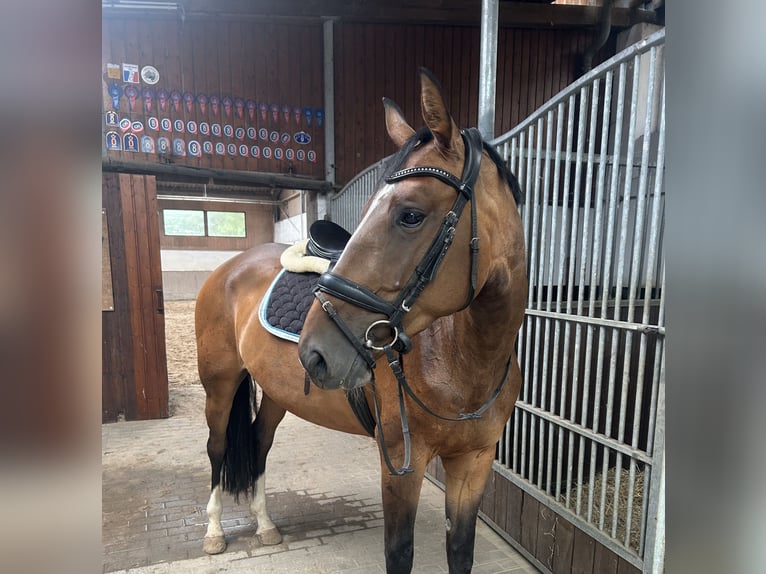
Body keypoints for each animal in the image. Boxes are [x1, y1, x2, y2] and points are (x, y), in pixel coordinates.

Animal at [195, 68, 527, 573]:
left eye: (410, 214)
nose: (314, 352)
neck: (464, 359)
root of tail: (230, 268)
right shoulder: (401, 465)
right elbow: (400, 553)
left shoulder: (473, 462)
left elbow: (460, 551)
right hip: (220, 383)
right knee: (217, 449)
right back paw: (214, 532)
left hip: (275, 392)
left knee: (259, 442)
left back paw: (266, 525)